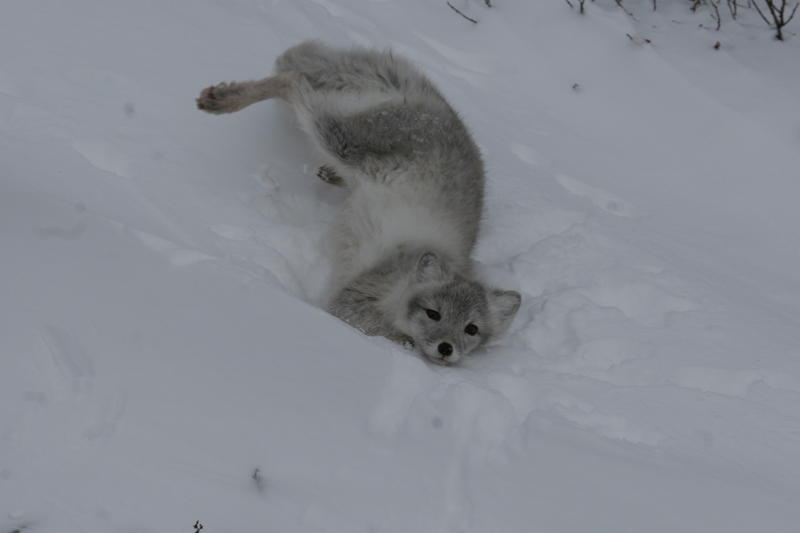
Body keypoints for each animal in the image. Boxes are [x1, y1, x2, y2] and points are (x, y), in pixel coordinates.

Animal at [196, 41, 520, 365]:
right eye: (433, 314)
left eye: (471, 329)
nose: (446, 349)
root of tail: (428, 96)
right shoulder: (354, 295)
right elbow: (383, 331)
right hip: (342, 141)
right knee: (295, 80)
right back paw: (225, 99)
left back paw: (331, 174)